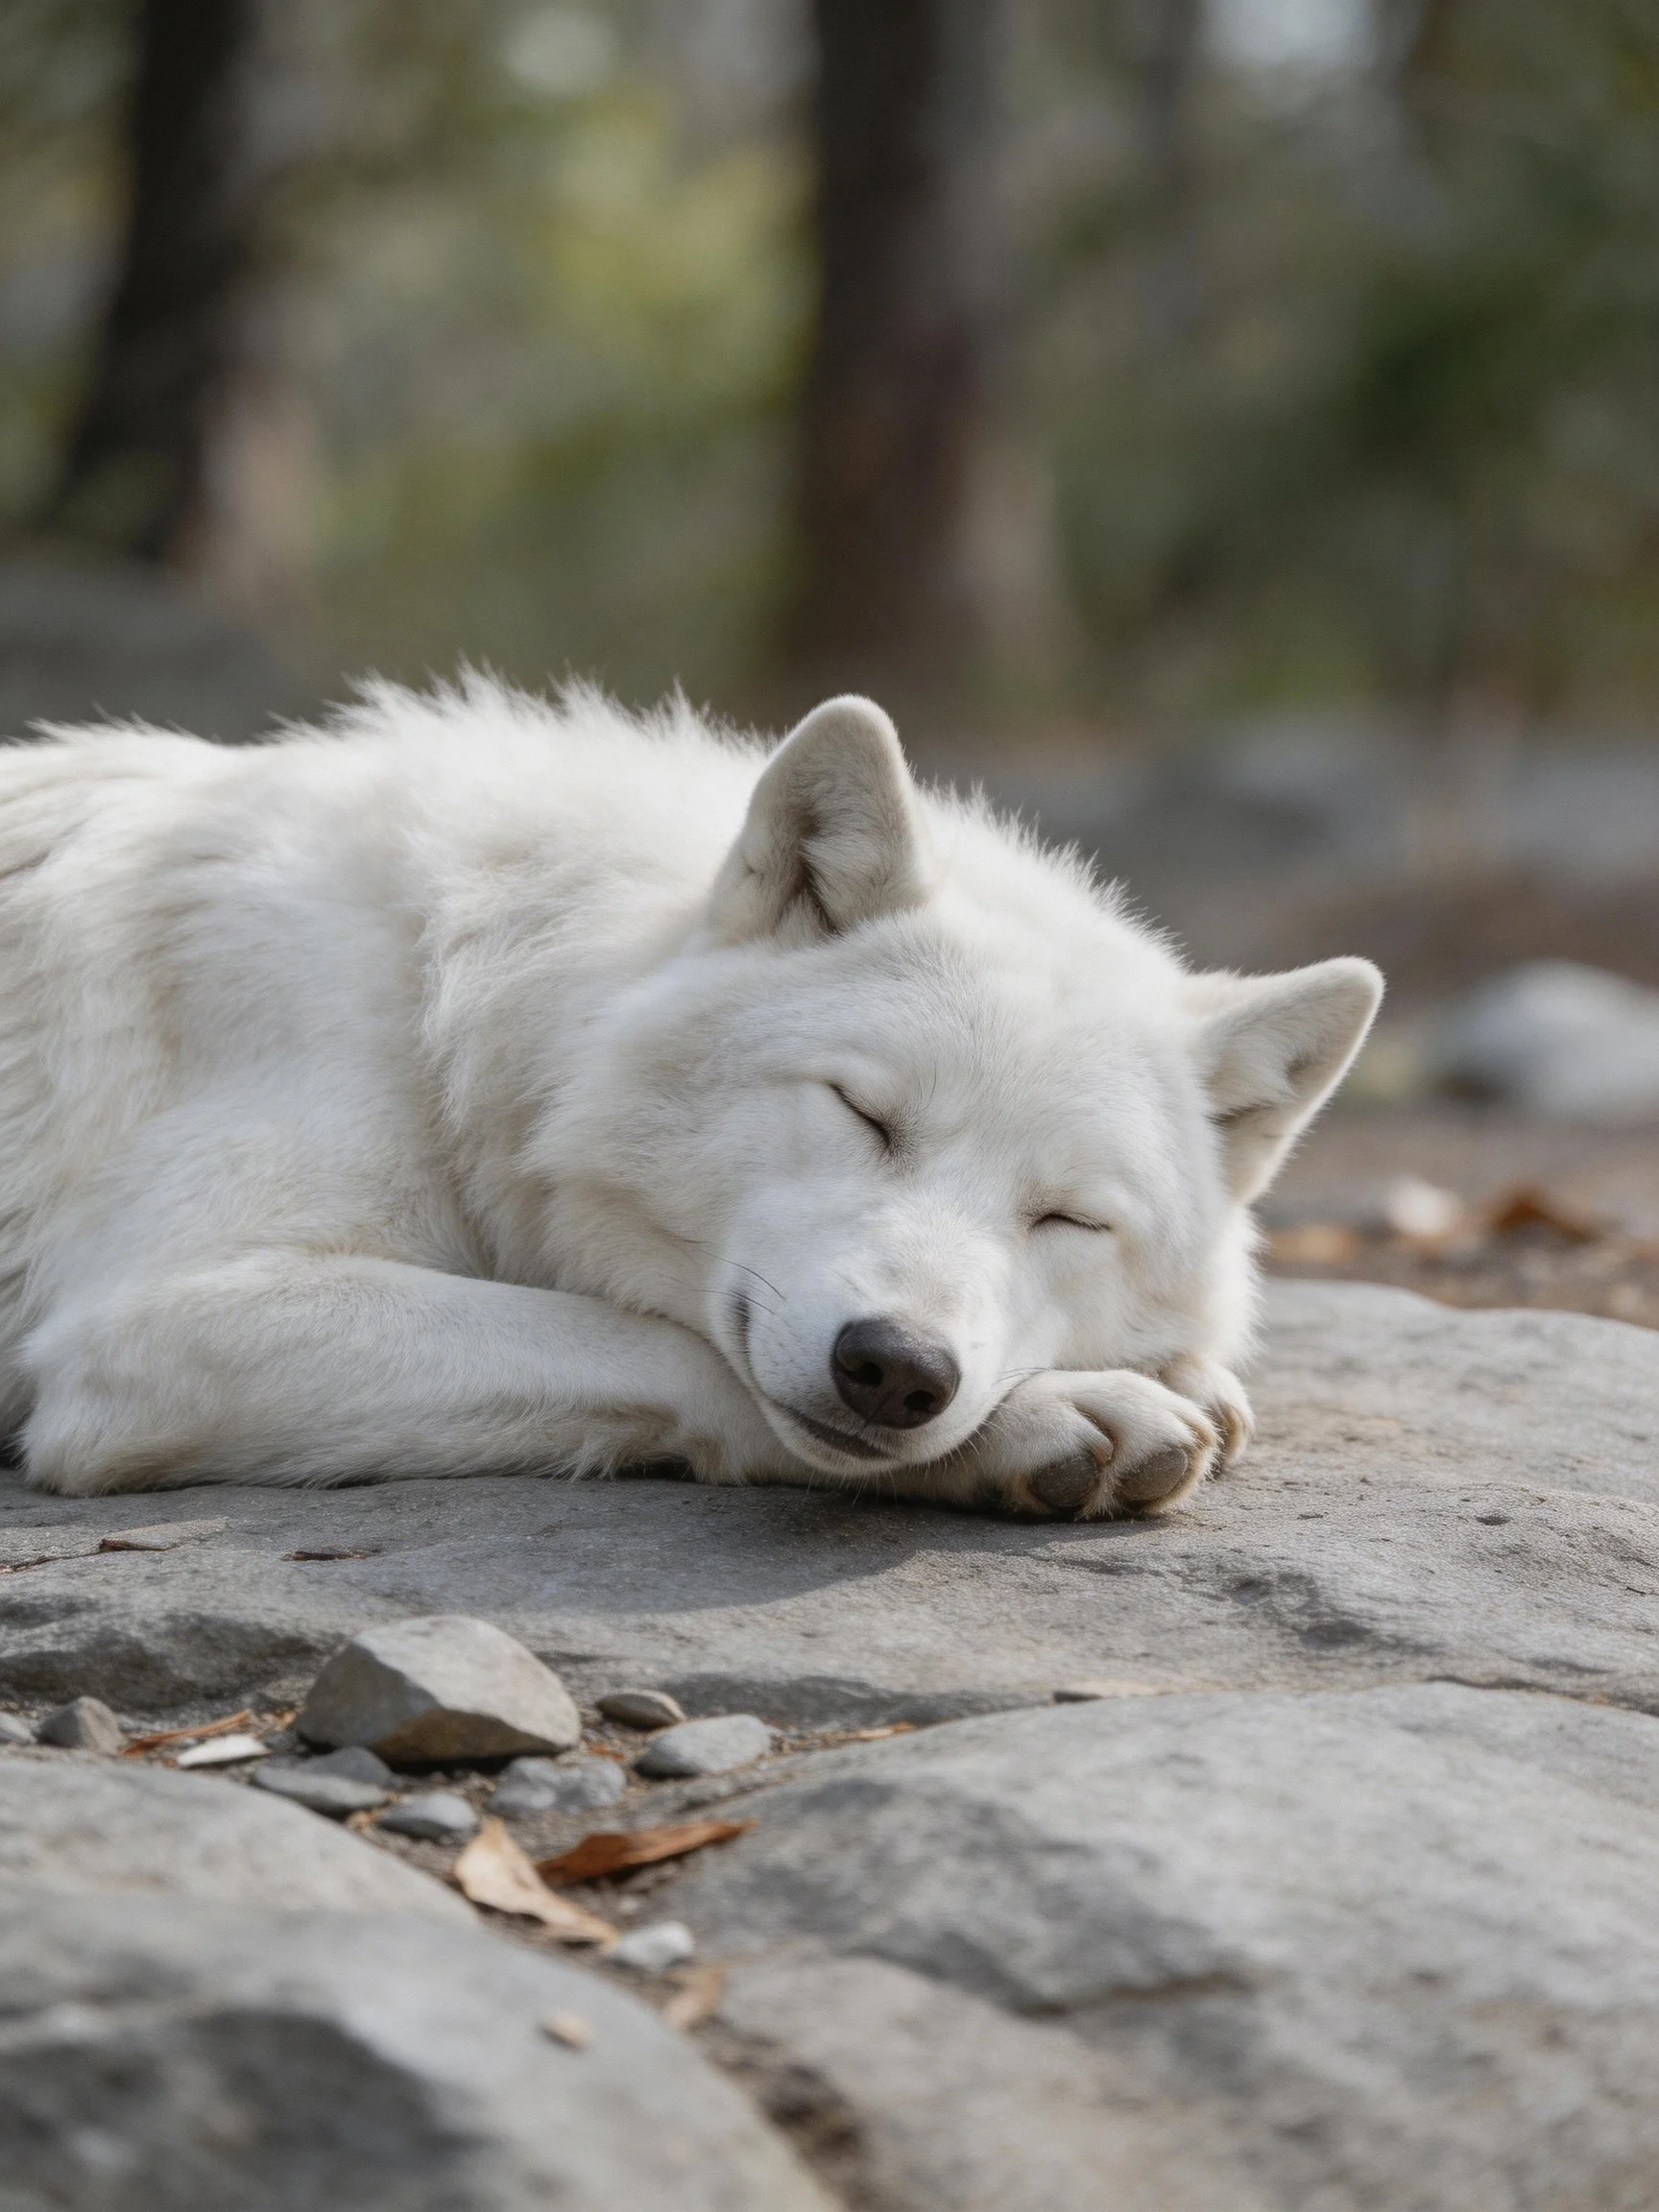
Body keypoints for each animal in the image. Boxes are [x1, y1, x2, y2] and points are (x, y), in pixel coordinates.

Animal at [0, 680, 1380, 1518]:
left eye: (1069, 1220)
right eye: (863, 1113)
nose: (899, 1372)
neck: (449, 990)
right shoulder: (157, 1324)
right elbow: (659, 1343)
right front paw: (1044, 1420)